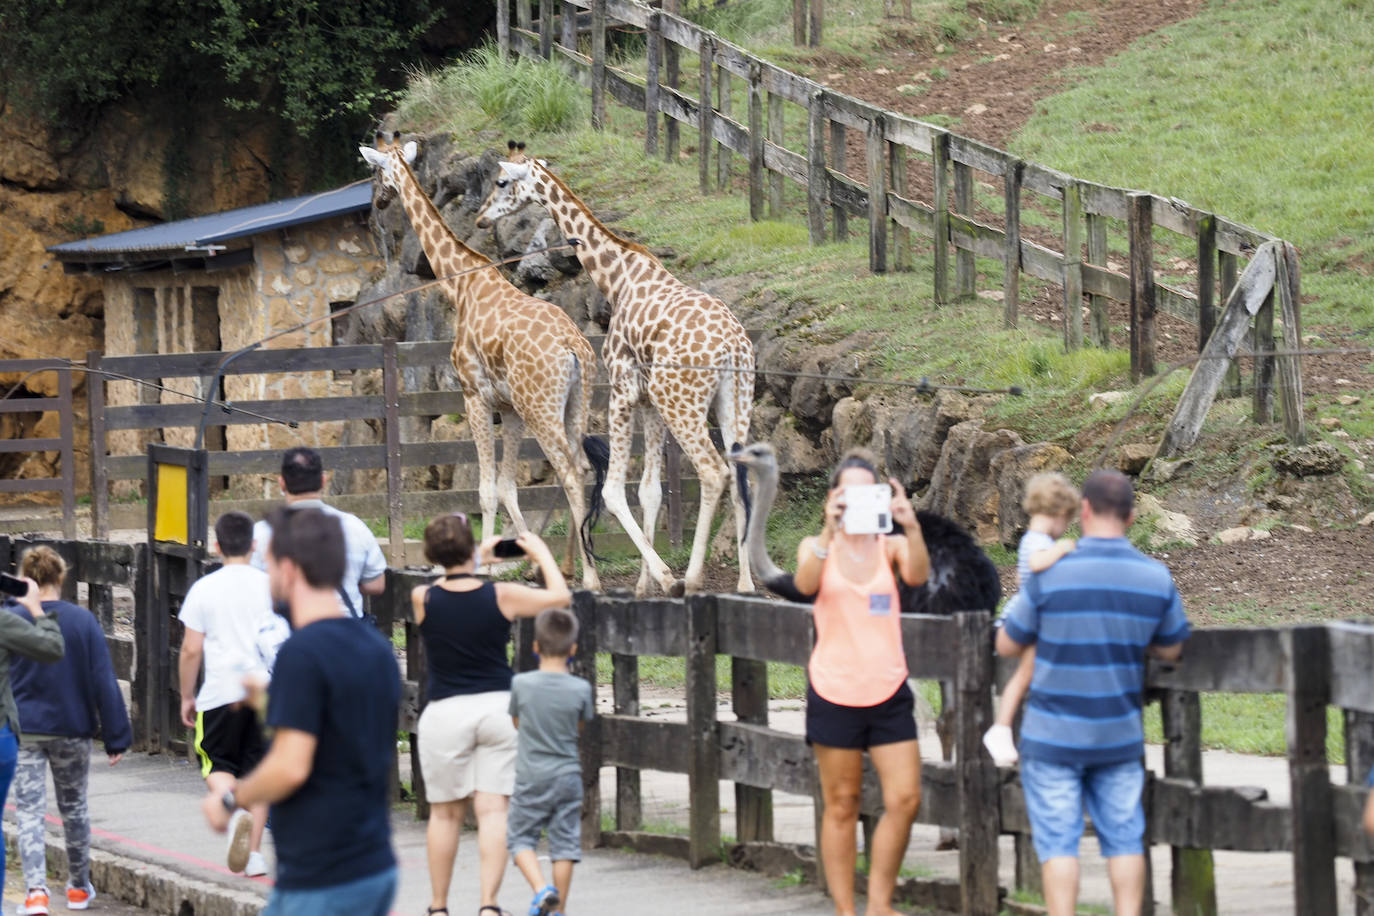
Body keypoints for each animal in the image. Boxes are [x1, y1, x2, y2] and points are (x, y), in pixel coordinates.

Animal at [359, 140, 607, 590]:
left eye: (376, 171)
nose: (380, 201)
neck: (461, 284)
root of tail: (574, 347)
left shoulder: (474, 395)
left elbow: (486, 490)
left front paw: (479, 567)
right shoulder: (508, 409)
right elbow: (508, 487)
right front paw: (526, 562)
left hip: (542, 408)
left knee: (568, 471)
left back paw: (591, 579)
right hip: (576, 402)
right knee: (581, 467)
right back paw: (573, 567)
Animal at [469, 147, 752, 598]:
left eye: (501, 182)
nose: (480, 218)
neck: (616, 277)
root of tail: (734, 346)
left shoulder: (622, 387)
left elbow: (616, 491)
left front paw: (664, 578)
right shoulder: (648, 401)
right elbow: (650, 490)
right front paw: (643, 584)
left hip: (682, 402)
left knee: (714, 472)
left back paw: (692, 579)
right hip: (735, 399)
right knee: (742, 476)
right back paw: (745, 583)